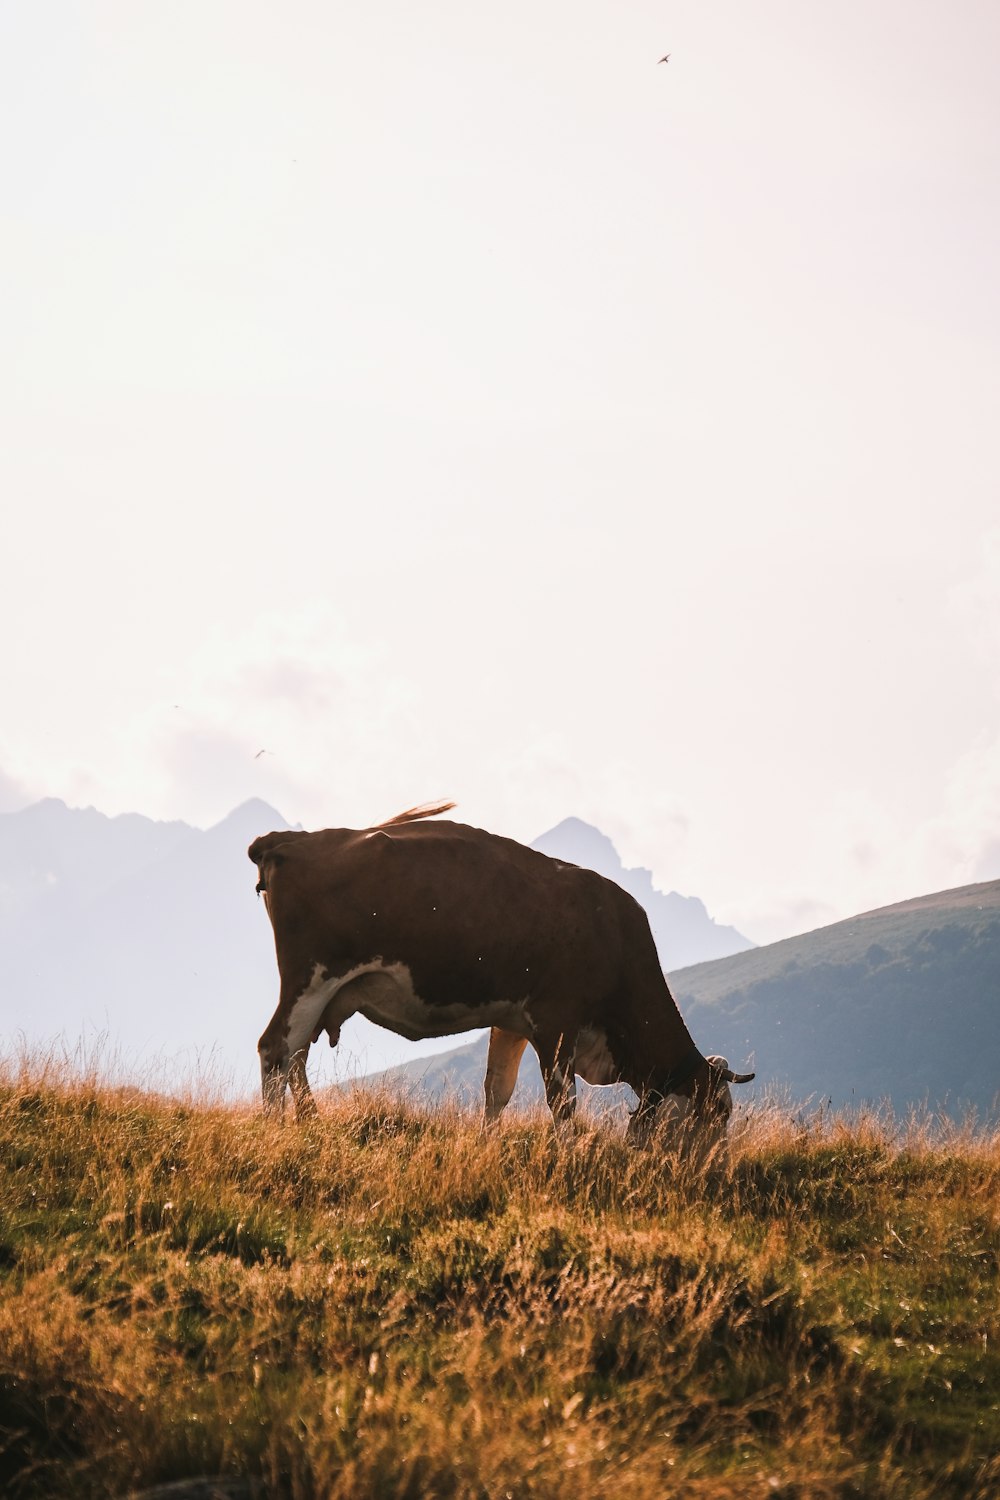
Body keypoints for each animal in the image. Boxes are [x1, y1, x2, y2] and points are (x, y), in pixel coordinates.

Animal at [245, 804, 755, 1140]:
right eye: (712, 1118)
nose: (708, 1175)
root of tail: (290, 838)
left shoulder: (511, 1022)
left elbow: (498, 1091)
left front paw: (487, 1146)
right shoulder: (556, 1021)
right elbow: (562, 1102)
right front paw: (567, 1155)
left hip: (324, 993)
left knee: (296, 1056)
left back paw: (310, 1123)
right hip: (310, 978)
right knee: (276, 1049)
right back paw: (273, 1131)